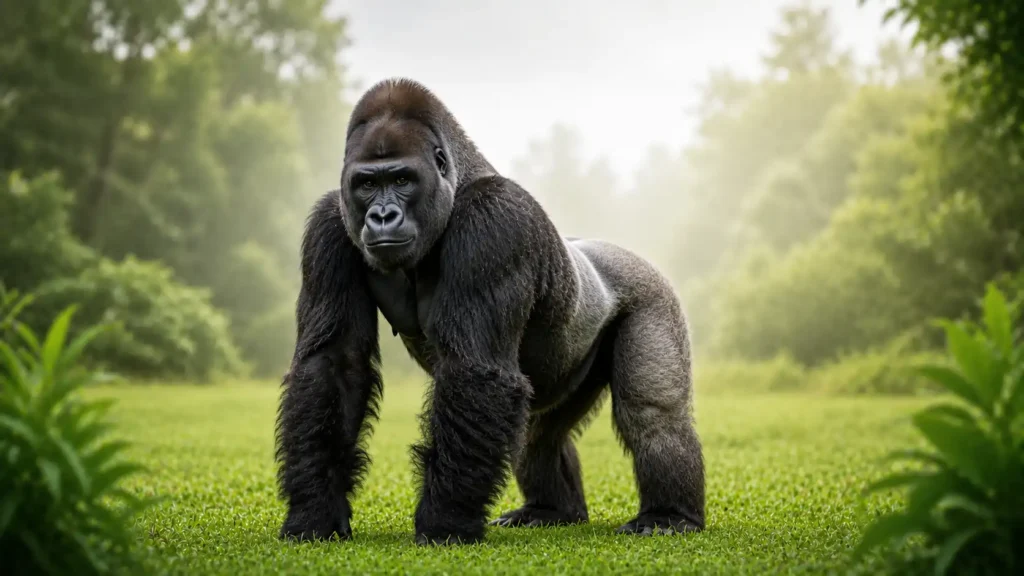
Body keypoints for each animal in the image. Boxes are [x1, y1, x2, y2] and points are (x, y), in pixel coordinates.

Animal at [275, 77, 705, 545]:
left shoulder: (495, 222)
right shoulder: (328, 224)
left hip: (653, 293)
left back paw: (670, 515)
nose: (382, 215)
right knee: (539, 431)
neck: (458, 180)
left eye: (403, 179)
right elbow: (334, 366)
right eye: (367, 184)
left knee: (652, 415)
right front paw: (315, 512)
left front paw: (445, 522)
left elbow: (475, 368)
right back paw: (551, 509)